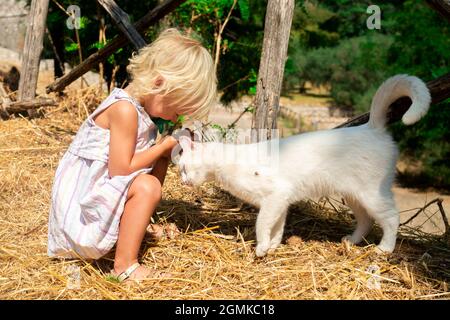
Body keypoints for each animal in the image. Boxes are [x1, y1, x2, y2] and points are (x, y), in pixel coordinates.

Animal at [178, 75, 430, 258]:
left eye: (182, 167)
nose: (182, 180)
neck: (230, 161)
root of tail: (372, 127)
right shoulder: (281, 203)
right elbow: (277, 228)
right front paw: (272, 246)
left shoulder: (274, 197)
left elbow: (262, 225)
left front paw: (261, 248)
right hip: (354, 196)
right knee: (366, 220)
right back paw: (351, 240)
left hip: (372, 195)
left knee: (391, 219)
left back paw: (384, 249)